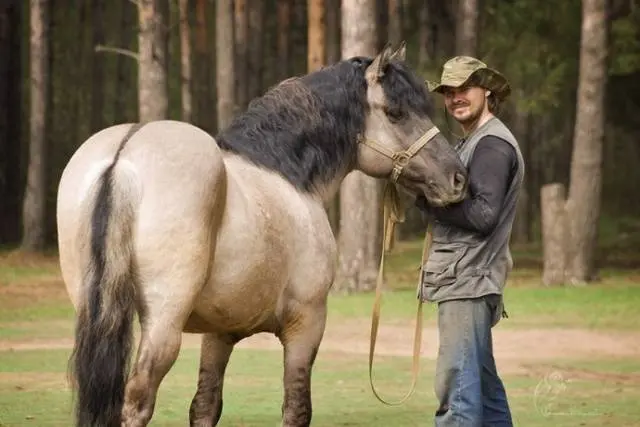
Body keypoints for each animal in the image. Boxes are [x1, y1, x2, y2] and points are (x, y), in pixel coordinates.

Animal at [57, 44, 468, 427]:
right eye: (396, 113)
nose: (457, 178)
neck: (288, 175)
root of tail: (123, 156)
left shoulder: (219, 334)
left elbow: (205, 406)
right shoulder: (306, 324)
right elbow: (296, 409)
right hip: (163, 323)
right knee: (138, 399)